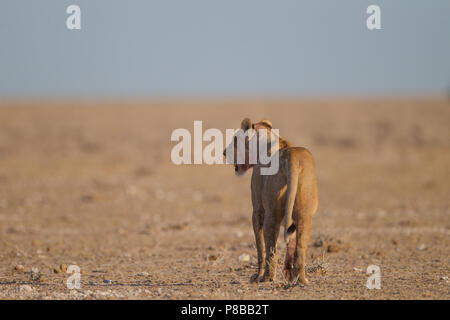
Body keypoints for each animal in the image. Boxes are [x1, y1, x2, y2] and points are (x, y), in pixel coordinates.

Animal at [223, 119, 318, 284]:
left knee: (271, 250)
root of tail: (292, 157)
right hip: (305, 213)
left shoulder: (257, 210)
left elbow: (260, 247)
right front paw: (288, 274)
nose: (223, 152)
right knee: (300, 247)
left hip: (271, 213)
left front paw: (256, 276)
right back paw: (299, 279)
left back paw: (266, 277)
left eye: (235, 139)